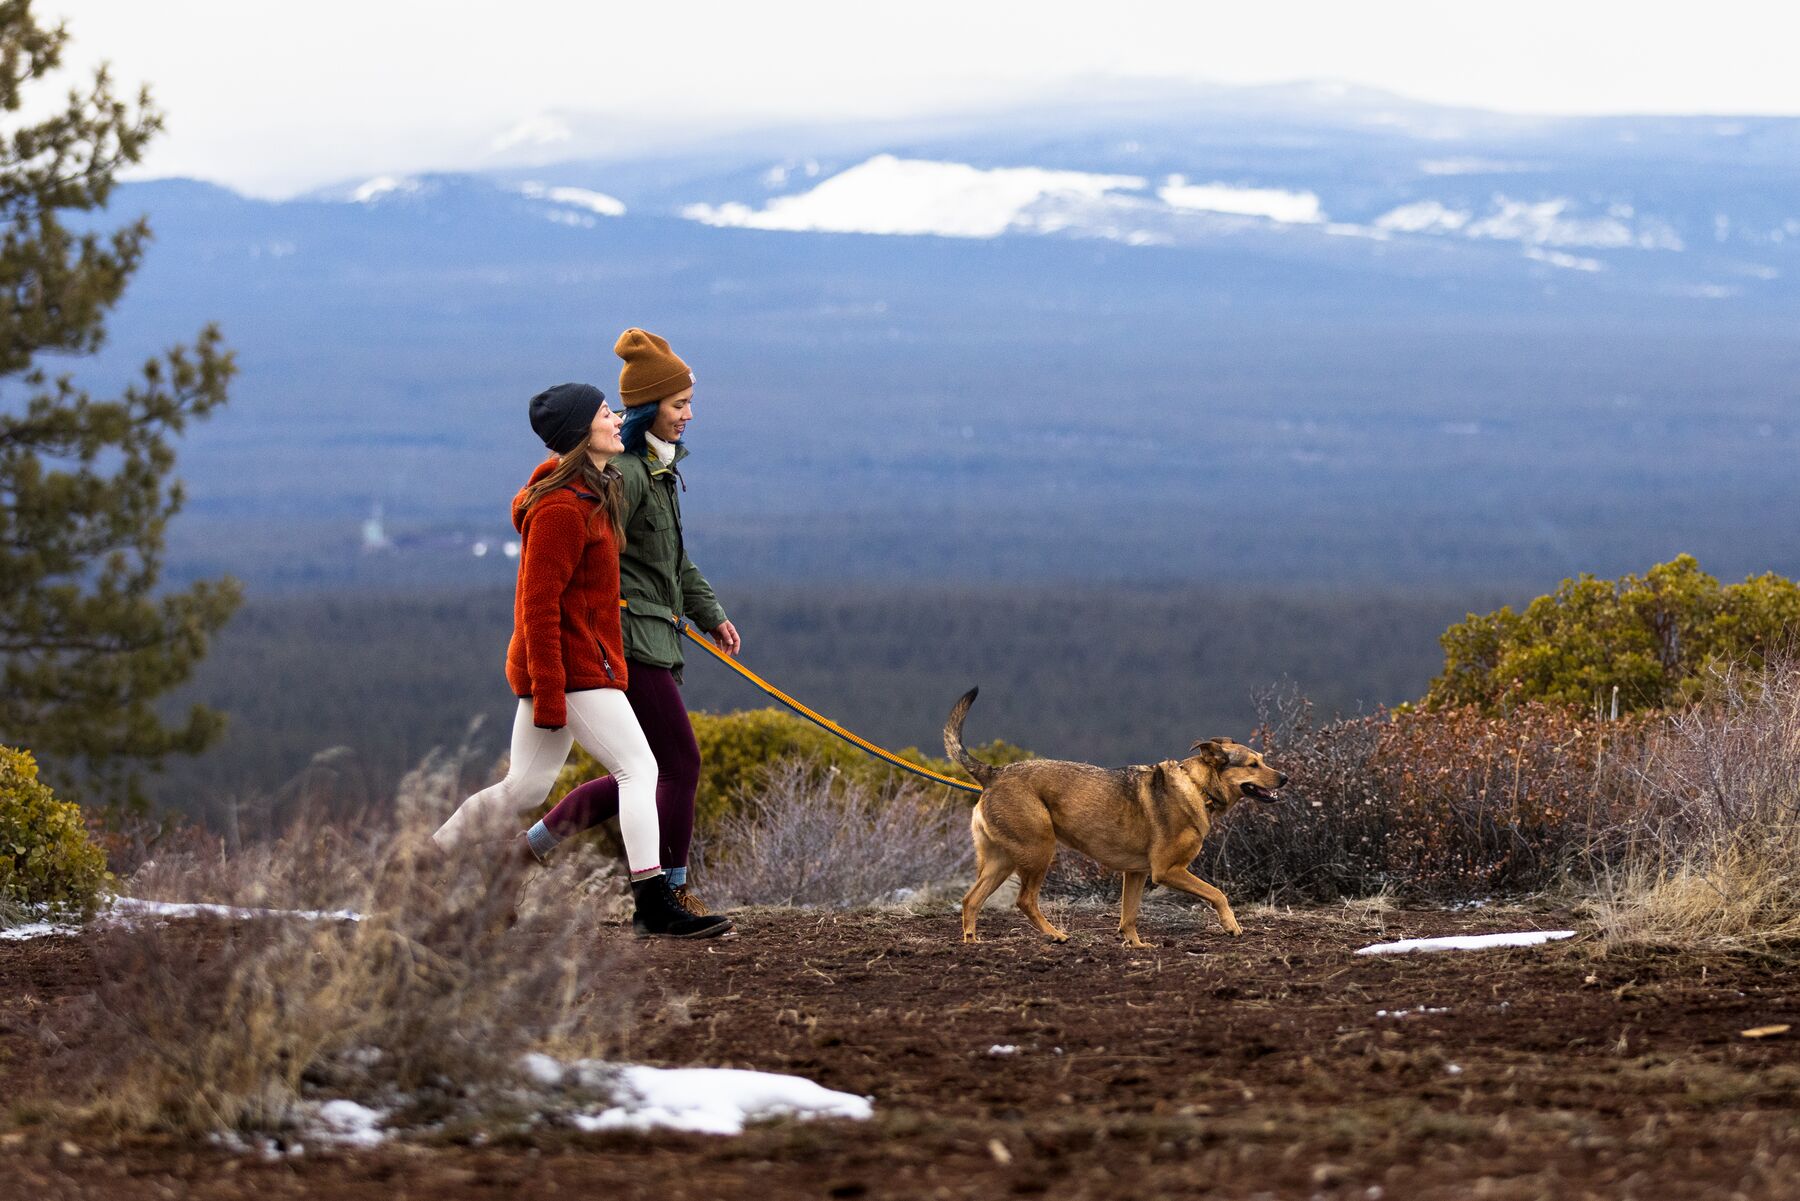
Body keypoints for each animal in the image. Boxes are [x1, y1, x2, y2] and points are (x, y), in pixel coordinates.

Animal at [950, 691, 1288, 943]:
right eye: (1253, 764)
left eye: (1263, 760)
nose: (1285, 777)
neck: (1197, 787)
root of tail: (994, 773)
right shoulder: (1167, 870)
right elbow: (1218, 893)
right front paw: (1231, 926)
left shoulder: (1136, 873)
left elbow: (1129, 916)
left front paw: (1136, 946)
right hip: (1039, 852)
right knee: (1024, 900)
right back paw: (1056, 935)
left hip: (1002, 861)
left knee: (971, 900)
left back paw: (973, 942)